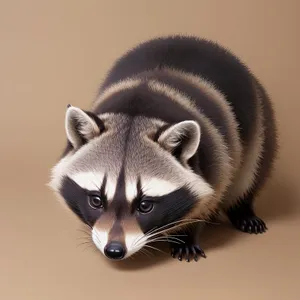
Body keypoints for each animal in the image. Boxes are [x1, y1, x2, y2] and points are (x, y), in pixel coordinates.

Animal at [48, 35, 276, 262]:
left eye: (145, 205)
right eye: (96, 201)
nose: (114, 250)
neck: (136, 108)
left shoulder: (217, 159)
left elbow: (207, 197)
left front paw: (187, 235)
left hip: (261, 122)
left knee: (253, 169)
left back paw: (244, 208)